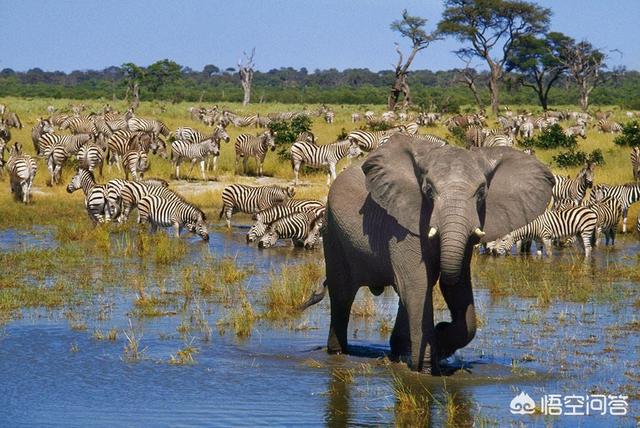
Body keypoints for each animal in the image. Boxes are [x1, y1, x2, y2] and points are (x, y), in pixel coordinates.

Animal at [302, 135, 556, 372]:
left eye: (482, 192)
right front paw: (426, 367)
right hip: (333, 232)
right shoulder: (404, 224)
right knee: (343, 293)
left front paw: (440, 340)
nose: (441, 327)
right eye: (428, 191)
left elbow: (456, 288)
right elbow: (418, 285)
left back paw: (399, 351)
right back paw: (338, 353)